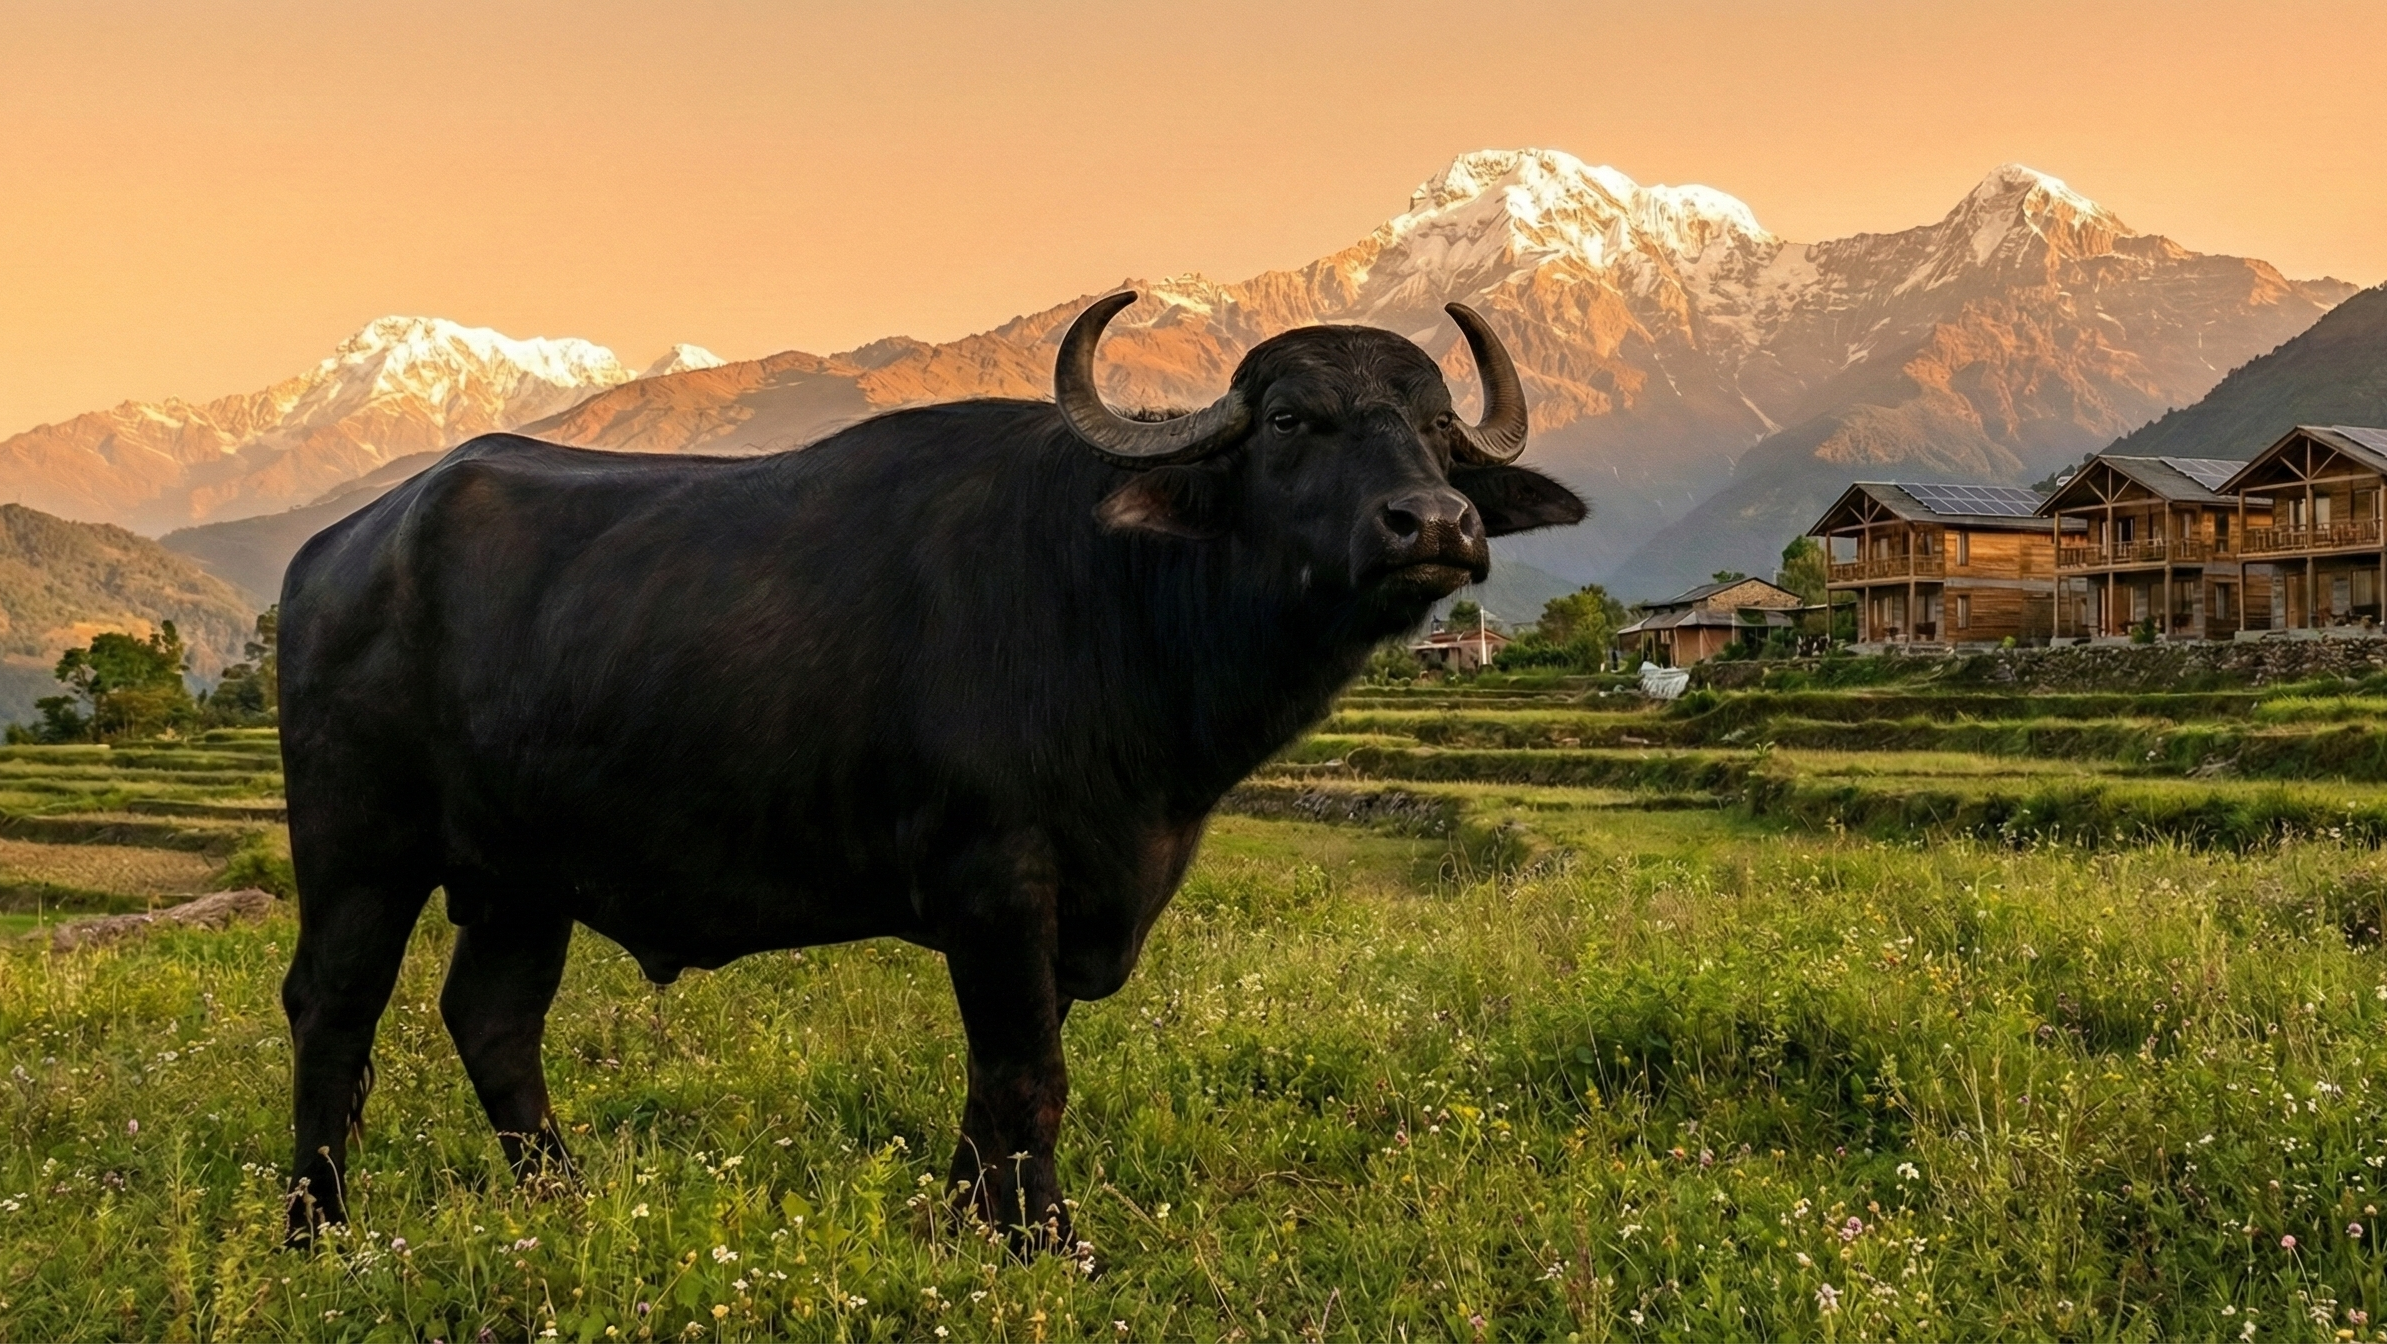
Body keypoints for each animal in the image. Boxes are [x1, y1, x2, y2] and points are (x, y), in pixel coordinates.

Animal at [276, 293, 1587, 1247]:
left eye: (1435, 428)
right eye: (1286, 422)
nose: (1433, 525)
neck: (1114, 598)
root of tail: (338, 550)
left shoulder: (1069, 904)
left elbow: (993, 1079)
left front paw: (967, 1223)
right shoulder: (994, 882)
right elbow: (1027, 1074)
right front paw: (1048, 1243)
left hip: (520, 878)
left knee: (492, 1020)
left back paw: (564, 1201)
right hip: (359, 852)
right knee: (331, 1010)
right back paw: (319, 1230)